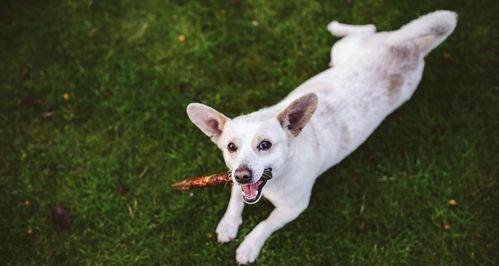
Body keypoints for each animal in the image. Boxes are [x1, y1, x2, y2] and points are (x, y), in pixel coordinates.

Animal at [186, 10, 456, 264]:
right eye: (231, 147)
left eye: (265, 145)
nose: (242, 175)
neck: (277, 178)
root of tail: (408, 46)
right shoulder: (235, 179)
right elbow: (235, 198)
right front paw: (228, 224)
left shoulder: (293, 208)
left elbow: (265, 223)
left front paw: (249, 246)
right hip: (343, 54)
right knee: (368, 29)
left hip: (350, 53)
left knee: (368, 27)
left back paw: (336, 26)